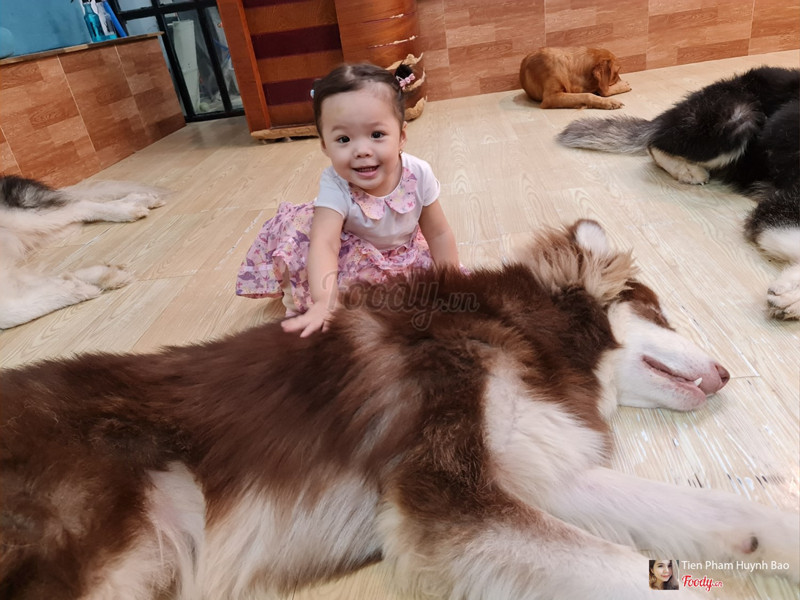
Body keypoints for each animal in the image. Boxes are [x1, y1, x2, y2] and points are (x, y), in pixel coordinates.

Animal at [0, 175, 167, 329]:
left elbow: (8, 313)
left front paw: (79, 287)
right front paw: (99, 276)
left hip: (26, 220)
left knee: (81, 205)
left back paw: (129, 210)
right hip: (46, 232)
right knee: (79, 207)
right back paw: (140, 199)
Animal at [3, 219, 797, 600]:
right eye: (659, 311)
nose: (729, 372)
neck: (516, 330)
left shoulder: (544, 473)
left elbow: (724, 516)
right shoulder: (445, 494)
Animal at [557, 66, 800, 319]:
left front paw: (793, 294)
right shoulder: (779, 206)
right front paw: (794, 291)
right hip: (737, 118)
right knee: (655, 143)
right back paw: (686, 169)